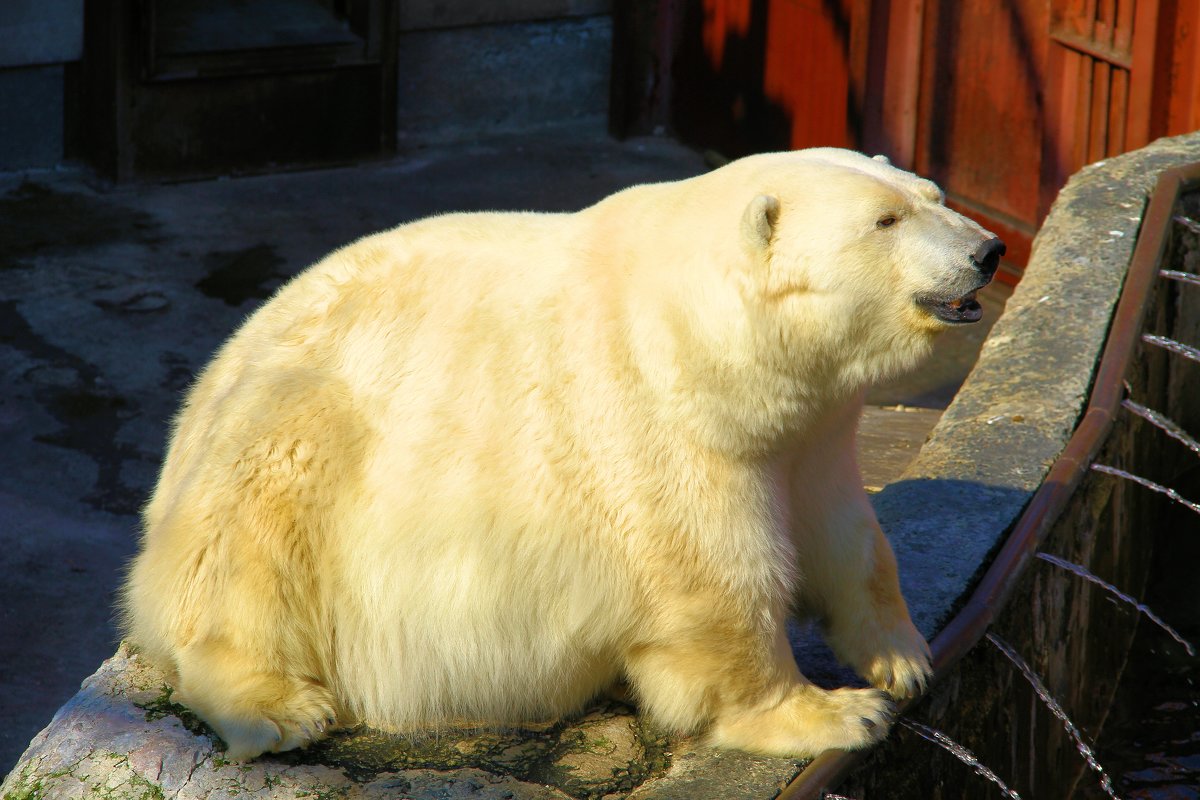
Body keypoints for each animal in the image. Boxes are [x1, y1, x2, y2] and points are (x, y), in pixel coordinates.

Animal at [121, 148, 1003, 762]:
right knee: (247, 560)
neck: (708, 348)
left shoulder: (807, 430)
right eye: (884, 221)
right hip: (290, 438)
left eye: (932, 194)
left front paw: (901, 656)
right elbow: (717, 585)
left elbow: (845, 532)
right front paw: (833, 711)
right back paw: (281, 710)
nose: (989, 251)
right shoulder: (657, 428)